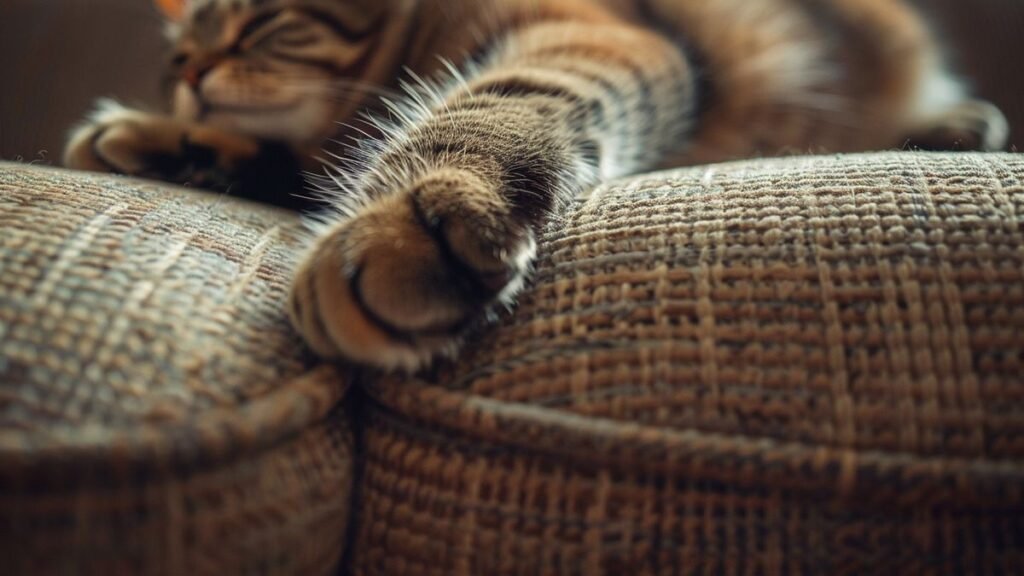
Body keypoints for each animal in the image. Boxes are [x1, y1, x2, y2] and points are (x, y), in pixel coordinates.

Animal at [61, 0, 1007, 366]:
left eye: (260, 18)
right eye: (176, 48)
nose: (185, 71)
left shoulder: (591, 35)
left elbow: (495, 103)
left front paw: (404, 223)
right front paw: (161, 136)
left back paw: (957, 125)